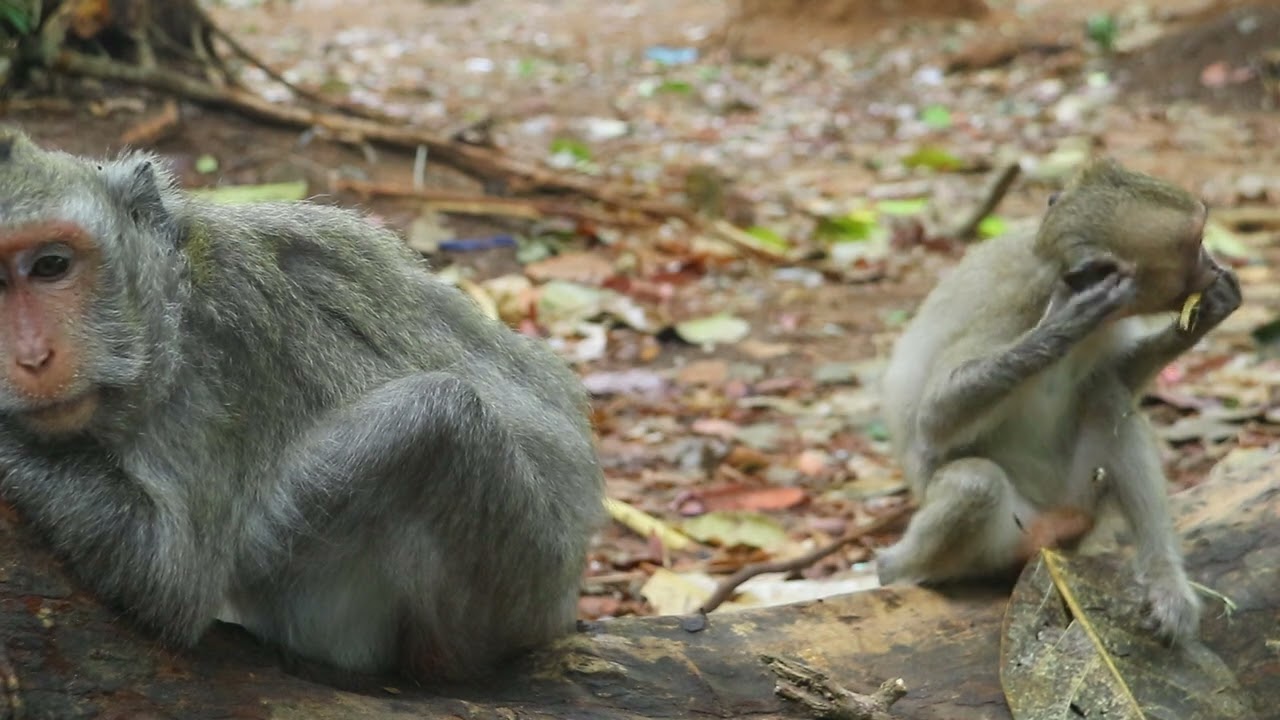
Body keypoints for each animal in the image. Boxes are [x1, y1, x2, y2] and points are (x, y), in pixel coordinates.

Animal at [0, 126, 606, 685]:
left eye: (51, 265)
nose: (31, 357)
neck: (175, 299)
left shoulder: (224, 365)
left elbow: (175, 580)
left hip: (520, 579)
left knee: (436, 412)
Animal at [876, 157, 1241, 644]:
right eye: (1196, 242)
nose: (1211, 263)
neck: (1053, 273)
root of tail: (1052, 522)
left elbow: (1113, 377)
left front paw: (1208, 313)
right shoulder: (1014, 306)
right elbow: (935, 418)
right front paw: (1062, 327)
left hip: (1078, 499)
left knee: (1106, 400)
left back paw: (1164, 580)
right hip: (1007, 536)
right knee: (975, 484)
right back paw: (897, 567)